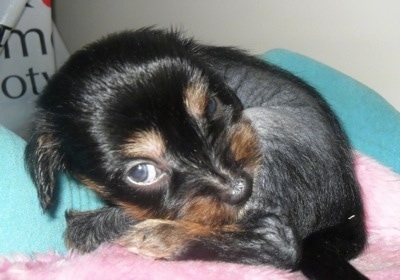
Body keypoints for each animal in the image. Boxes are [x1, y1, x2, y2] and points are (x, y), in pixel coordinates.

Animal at [25, 27, 366, 278]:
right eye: (141, 172)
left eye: (212, 107)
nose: (241, 188)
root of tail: (349, 209)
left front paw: (93, 225)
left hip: (266, 133)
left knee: (278, 242)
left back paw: (160, 236)